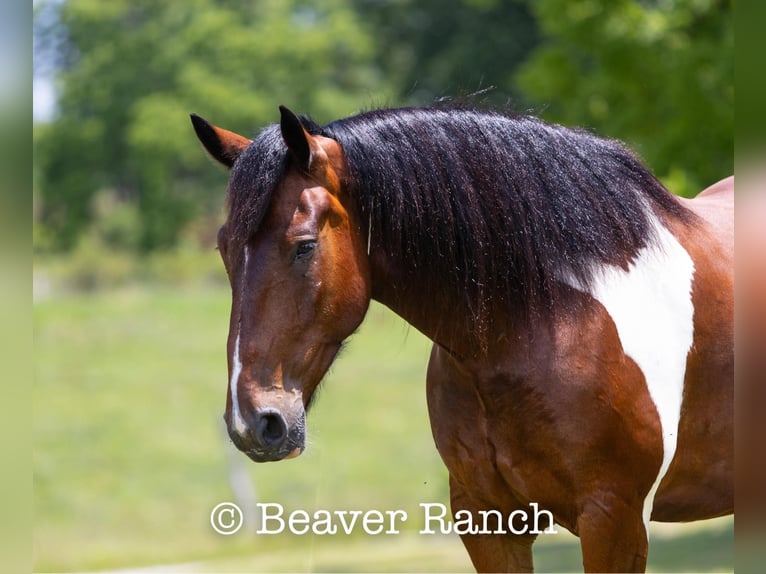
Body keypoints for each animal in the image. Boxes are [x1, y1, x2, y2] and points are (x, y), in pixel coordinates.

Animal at [189, 106, 736, 572]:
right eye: (224, 249)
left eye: (303, 247)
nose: (254, 422)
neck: (548, 321)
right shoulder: (488, 521)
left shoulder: (614, 520)